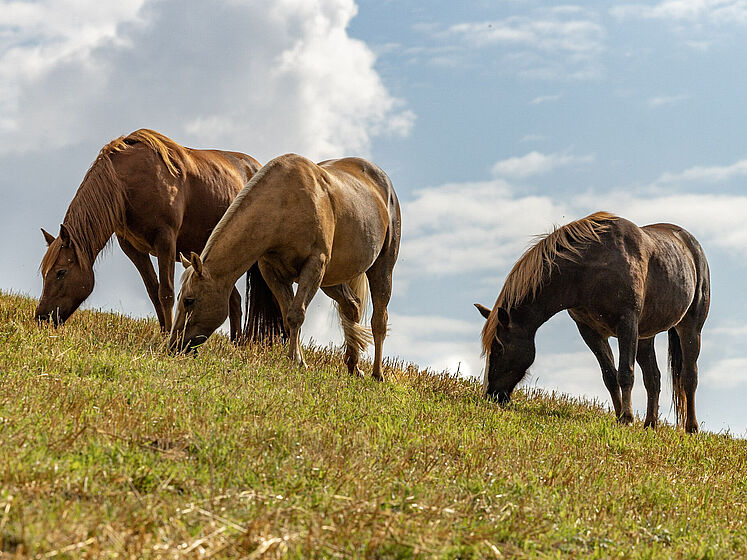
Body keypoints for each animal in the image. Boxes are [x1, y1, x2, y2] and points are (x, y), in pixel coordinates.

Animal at [32, 129, 284, 342]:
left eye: (61, 272)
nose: (41, 317)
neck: (129, 182)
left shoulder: (166, 241)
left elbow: (167, 292)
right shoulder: (133, 248)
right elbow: (153, 291)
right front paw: (164, 332)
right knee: (234, 300)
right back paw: (236, 342)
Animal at [169, 153, 404, 380]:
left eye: (189, 300)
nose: (174, 347)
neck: (284, 203)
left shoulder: (314, 266)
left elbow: (296, 314)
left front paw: (296, 361)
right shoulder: (274, 272)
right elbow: (287, 315)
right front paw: (297, 359)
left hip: (381, 269)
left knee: (379, 320)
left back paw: (377, 374)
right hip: (330, 280)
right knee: (352, 307)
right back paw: (353, 366)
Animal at [476, 211, 712, 434]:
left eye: (499, 348)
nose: (491, 395)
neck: (589, 269)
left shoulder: (627, 323)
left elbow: (625, 373)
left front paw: (627, 418)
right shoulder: (590, 331)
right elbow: (610, 375)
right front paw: (619, 416)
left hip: (690, 328)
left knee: (689, 376)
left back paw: (691, 428)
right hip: (646, 336)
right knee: (653, 378)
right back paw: (650, 424)